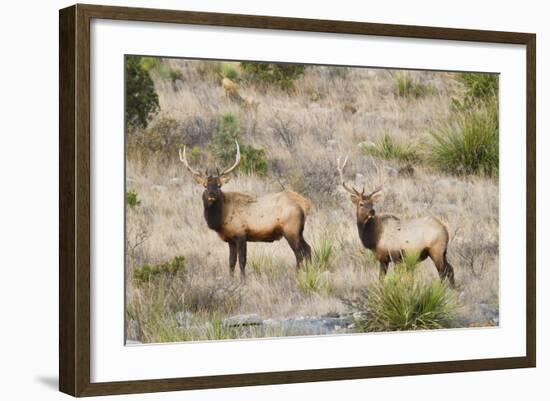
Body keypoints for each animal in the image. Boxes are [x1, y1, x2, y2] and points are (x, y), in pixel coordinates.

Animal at [180, 142, 312, 276]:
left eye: (219, 185)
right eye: (205, 185)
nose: (211, 194)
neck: (221, 218)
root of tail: (304, 204)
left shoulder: (241, 234)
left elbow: (242, 261)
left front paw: (243, 279)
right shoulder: (231, 239)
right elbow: (231, 262)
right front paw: (231, 278)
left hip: (291, 229)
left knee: (300, 253)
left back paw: (298, 274)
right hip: (298, 231)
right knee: (308, 249)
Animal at [336, 156, 458, 288]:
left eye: (372, 203)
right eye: (361, 204)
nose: (372, 211)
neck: (374, 238)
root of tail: (446, 230)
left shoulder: (395, 256)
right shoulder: (383, 259)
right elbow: (381, 279)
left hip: (436, 251)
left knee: (443, 272)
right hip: (443, 252)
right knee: (450, 269)